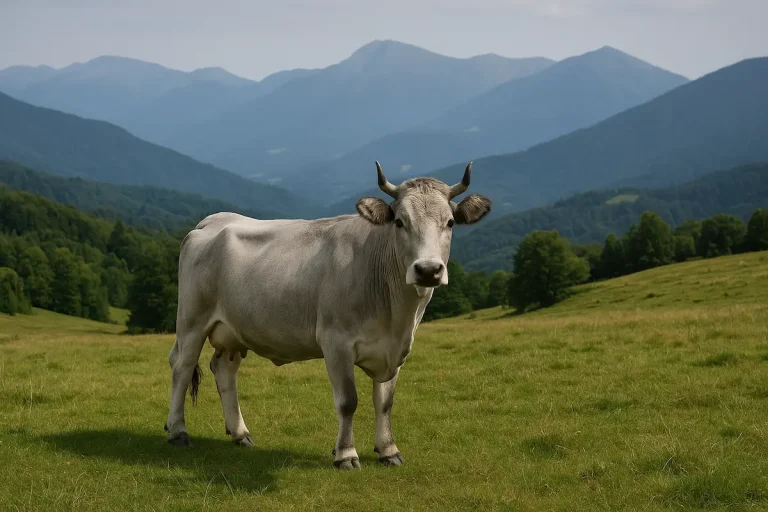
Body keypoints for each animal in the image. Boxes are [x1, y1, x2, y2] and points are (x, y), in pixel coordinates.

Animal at [165, 161, 491, 469]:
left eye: (450, 222)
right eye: (399, 222)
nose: (427, 270)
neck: (396, 316)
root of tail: (212, 221)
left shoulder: (395, 349)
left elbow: (385, 403)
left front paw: (389, 450)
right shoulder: (336, 342)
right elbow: (348, 401)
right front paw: (346, 454)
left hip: (232, 330)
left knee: (224, 369)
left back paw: (240, 433)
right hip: (192, 320)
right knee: (182, 366)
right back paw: (178, 431)